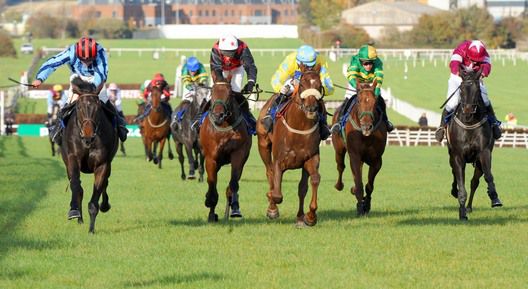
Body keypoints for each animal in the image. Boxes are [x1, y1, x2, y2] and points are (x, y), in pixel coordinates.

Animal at [60, 76, 118, 232]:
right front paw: (74, 211)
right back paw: (79, 218)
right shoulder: (72, 159)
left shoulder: (103, 164)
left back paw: (104, 205)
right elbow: (75, 185)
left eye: (97, 108)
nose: (88, 137)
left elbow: (97, 193)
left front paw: (91, 229)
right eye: (79, 107)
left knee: (105, 183)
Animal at [200, 80, 254, 220]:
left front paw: (234, 207)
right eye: (212, 92)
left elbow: (233, 183)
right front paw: (210, 205)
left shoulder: (238, 154)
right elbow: (212, 183)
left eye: (229, 94)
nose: (218, 115)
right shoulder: (211, 158)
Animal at [256, 63, 326, 225]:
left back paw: (300, 217)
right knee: (269, 172)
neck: (299, 128)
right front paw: (272, 208)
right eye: (302, 84)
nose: (312, 108)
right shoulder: (279, 160)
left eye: (319, 85)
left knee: (302, 187)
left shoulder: (311, 158)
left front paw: (310, 216)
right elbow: (276, 194)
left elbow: (313, 181)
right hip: (263, 145)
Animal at [330, 79, 388, 216]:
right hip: (339, 149)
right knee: (341, 166)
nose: (366, 126)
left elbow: (369, 185)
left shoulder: (376, 159)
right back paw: (339, 185)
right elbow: (359, 182)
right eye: (358, 101)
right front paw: (360, 207)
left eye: (375, 102)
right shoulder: (355, 156)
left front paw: (366, 204)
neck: (365, 136)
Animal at [446, 66, 504, 219]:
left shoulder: (484, 153)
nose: (467, 110)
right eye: (461, 89)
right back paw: (456, 193)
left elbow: (488, 176)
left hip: (477, 162)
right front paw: (462, 213)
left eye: (477, 89)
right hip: (451, 156)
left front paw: (494, 197)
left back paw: (469, 207)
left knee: (474, 182)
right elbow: (460, 183)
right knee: (455, 174)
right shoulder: (458, 156)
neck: (469, 122)